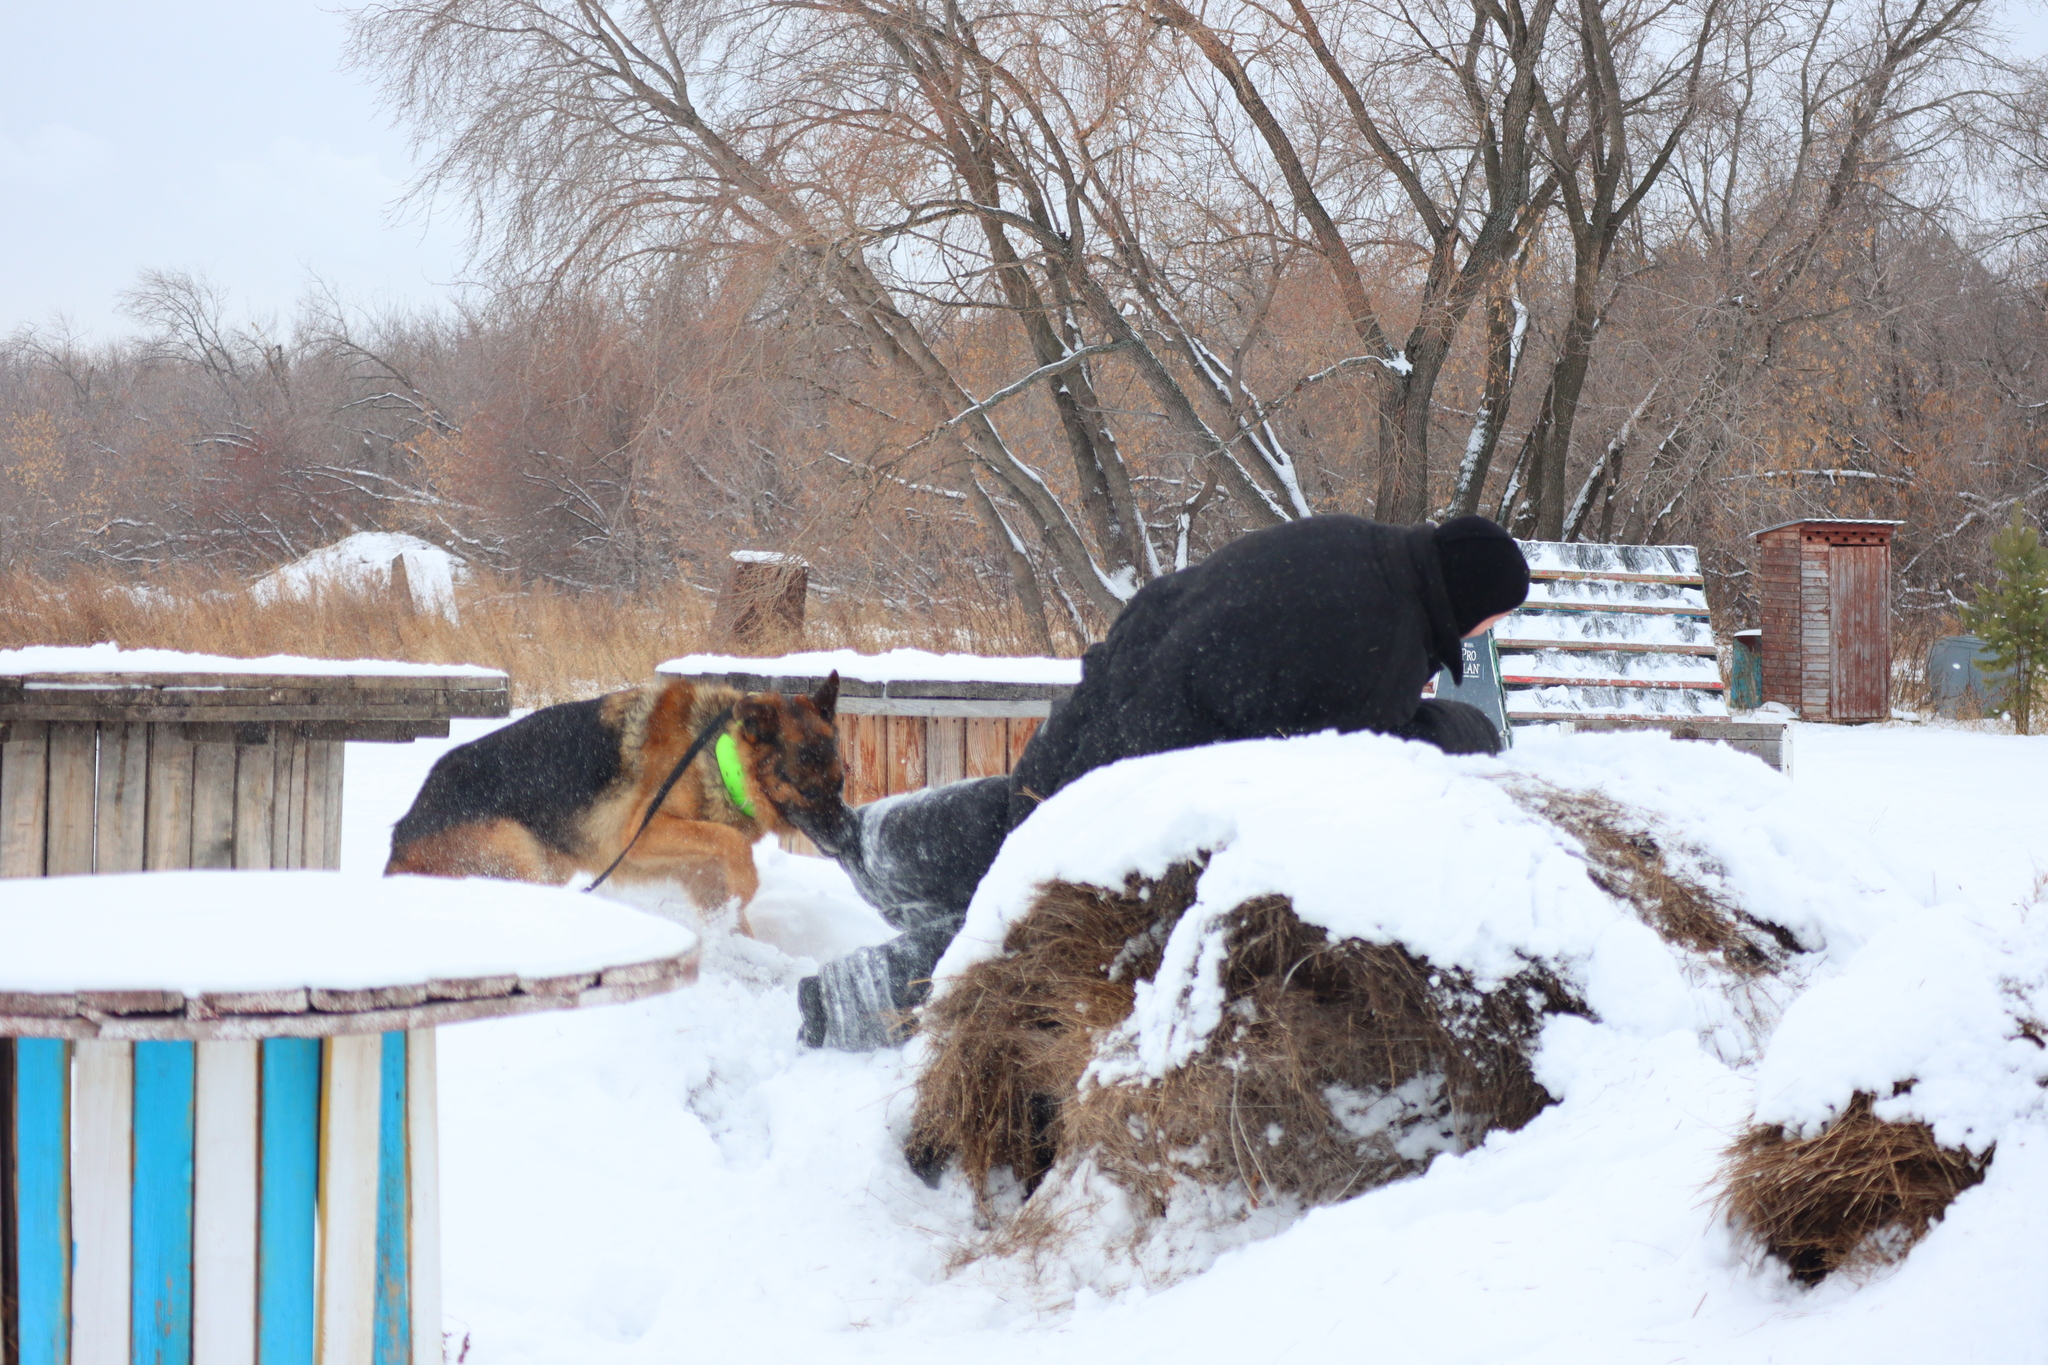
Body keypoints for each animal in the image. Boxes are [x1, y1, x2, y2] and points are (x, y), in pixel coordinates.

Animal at [387, 671, 843, 929]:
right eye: (806, 789)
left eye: (840, 783)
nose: (846, 839)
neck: (717, 754)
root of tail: (400, 836)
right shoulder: (641, 834)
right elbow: (732, 844)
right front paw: (748, 885)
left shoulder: (701, 875)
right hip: (517, 851)